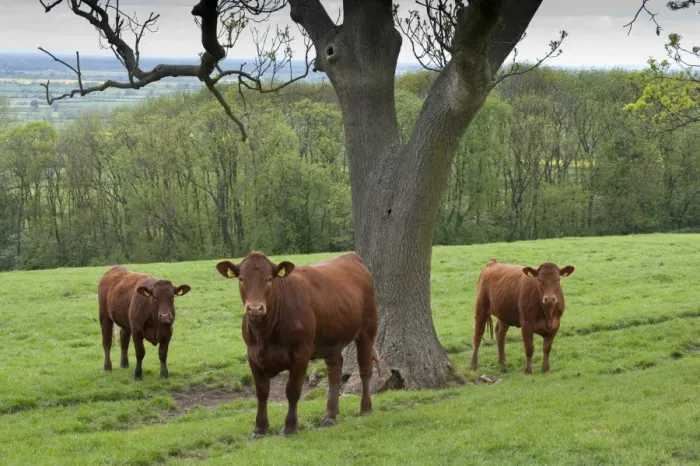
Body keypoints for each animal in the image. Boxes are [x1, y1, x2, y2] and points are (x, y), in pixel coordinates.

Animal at [216, 251, 379, 439]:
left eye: (269, 279)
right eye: (241, 278)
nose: (255, 308)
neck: (265, 333)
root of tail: (351, 256)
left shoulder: (301, 354)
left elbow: (292, 391)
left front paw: (290, 426)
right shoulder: (252, 356)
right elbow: (262, 393)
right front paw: (260, 428)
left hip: (367, 330)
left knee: (365, 369)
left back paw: (365, 408)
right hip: (331, 339)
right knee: (335, 371)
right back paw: (330, 415)